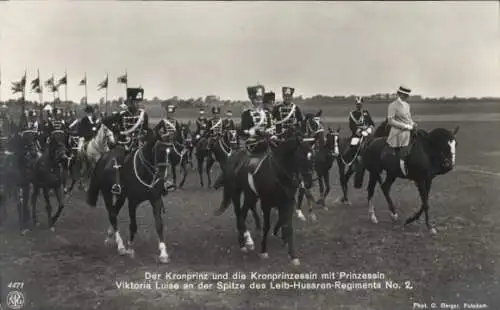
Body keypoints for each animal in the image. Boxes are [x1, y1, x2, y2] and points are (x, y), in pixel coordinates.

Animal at [89, 127, 175, 262]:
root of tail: (103, 157)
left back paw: (110, 235)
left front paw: (163, 253)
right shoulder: (132, 202)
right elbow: (133, 225)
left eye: (169, 152)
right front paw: (129, 247)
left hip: (121, 196)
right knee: (112, 215)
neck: (145, 172)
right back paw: (120, 246)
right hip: (107, 194)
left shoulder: (155, 199)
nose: (163, 177)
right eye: (158, 151)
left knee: (114, 211)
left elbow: (159, 225)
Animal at [213, 131, 314, 266]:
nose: (308, 183)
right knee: (239, 214)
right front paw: (264, 251)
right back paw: (246, 242)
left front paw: (293, 256)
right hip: (236, 193)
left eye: (312, 158)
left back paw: (247, 239)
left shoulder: (287, 203)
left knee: (244, 212)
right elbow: (267, 226)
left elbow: (288, 227)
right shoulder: (266, 204)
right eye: (301, 157)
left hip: (250, 196)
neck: (277, 174)